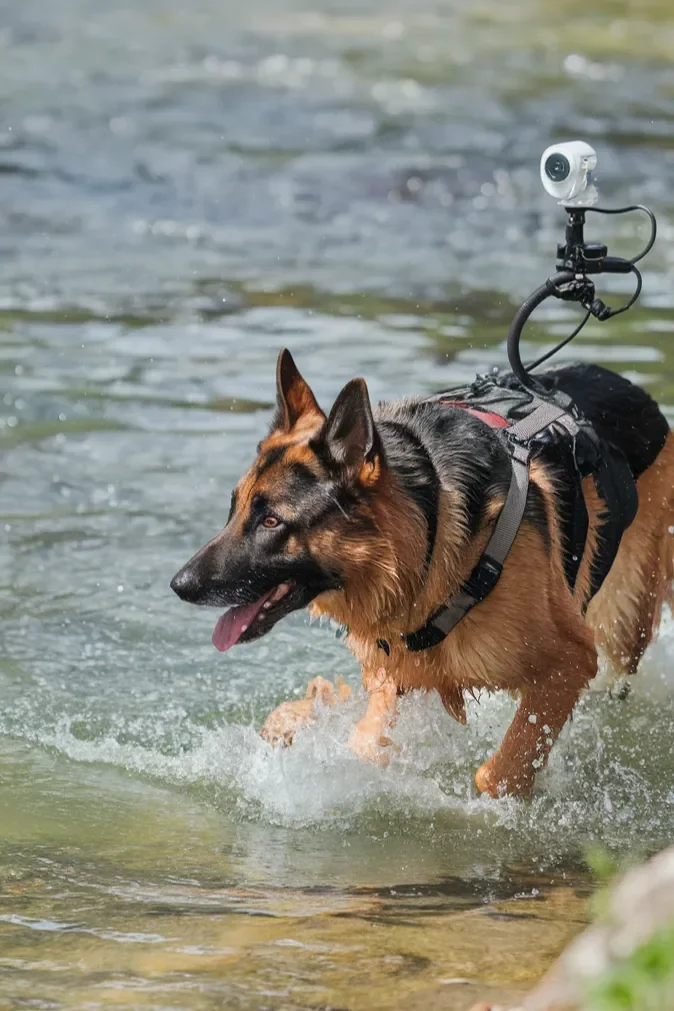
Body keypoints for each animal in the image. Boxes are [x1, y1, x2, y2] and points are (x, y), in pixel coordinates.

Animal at [169, 347, 674, 796]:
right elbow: (365, 744)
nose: (179, 586)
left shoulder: (570, 662)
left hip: (621, 627)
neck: (425, 545)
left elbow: (495, 775)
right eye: (233, 509)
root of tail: (629, 387)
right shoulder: (397, 677)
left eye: (272, 521)